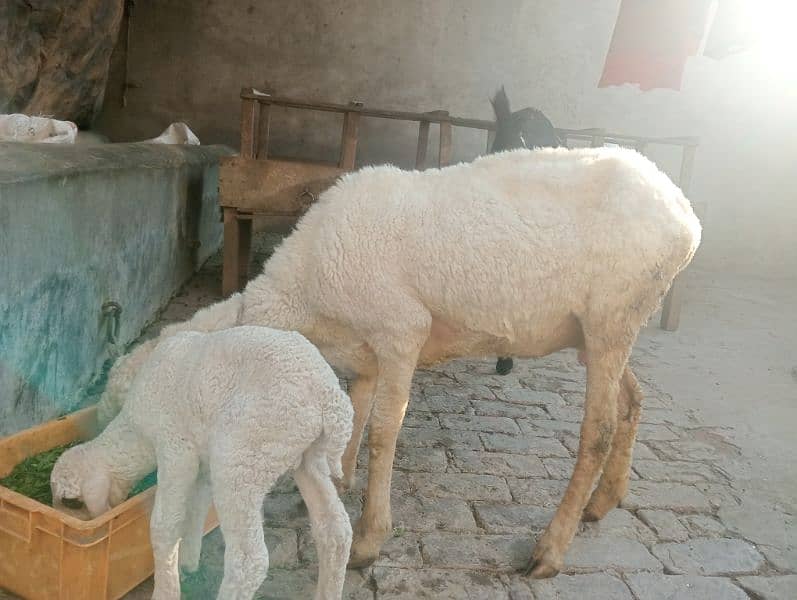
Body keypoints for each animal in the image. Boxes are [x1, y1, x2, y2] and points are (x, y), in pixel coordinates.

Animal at [54, 328, 352, 600]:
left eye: (72, 503)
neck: (136, 433)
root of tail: (330, 398)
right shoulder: (202, 464)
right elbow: (194, 509)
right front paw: (188, 565)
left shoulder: (176, 450)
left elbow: (164, 526)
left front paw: (167, 589)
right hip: (308, 457)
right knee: (335, 531)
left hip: (243, 456)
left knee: (248, 561)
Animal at [96, 145, 700, 576]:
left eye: (140, 408)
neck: (304, 295)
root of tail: (682, 210)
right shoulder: (366, 350)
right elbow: (357, 411)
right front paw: (340, 478)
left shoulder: (402, 331)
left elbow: (386, 430)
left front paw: (368, 538)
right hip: (598, 332)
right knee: (632, 400)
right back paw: (606, 500)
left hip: (612, 316)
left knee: (598, 429)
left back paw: (550, 550)